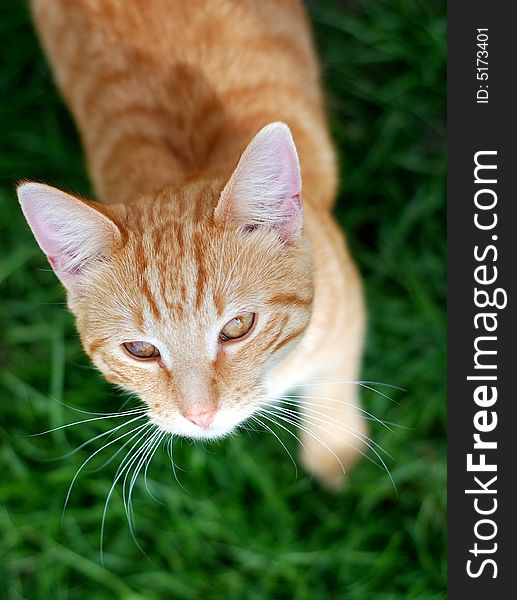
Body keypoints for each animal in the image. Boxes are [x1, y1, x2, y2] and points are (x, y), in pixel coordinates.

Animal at [20, 0, 364, 488]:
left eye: (238, 326)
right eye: (141, 350)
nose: (201, 416)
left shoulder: (347, 320)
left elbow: (334, 390)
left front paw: (335, 450)